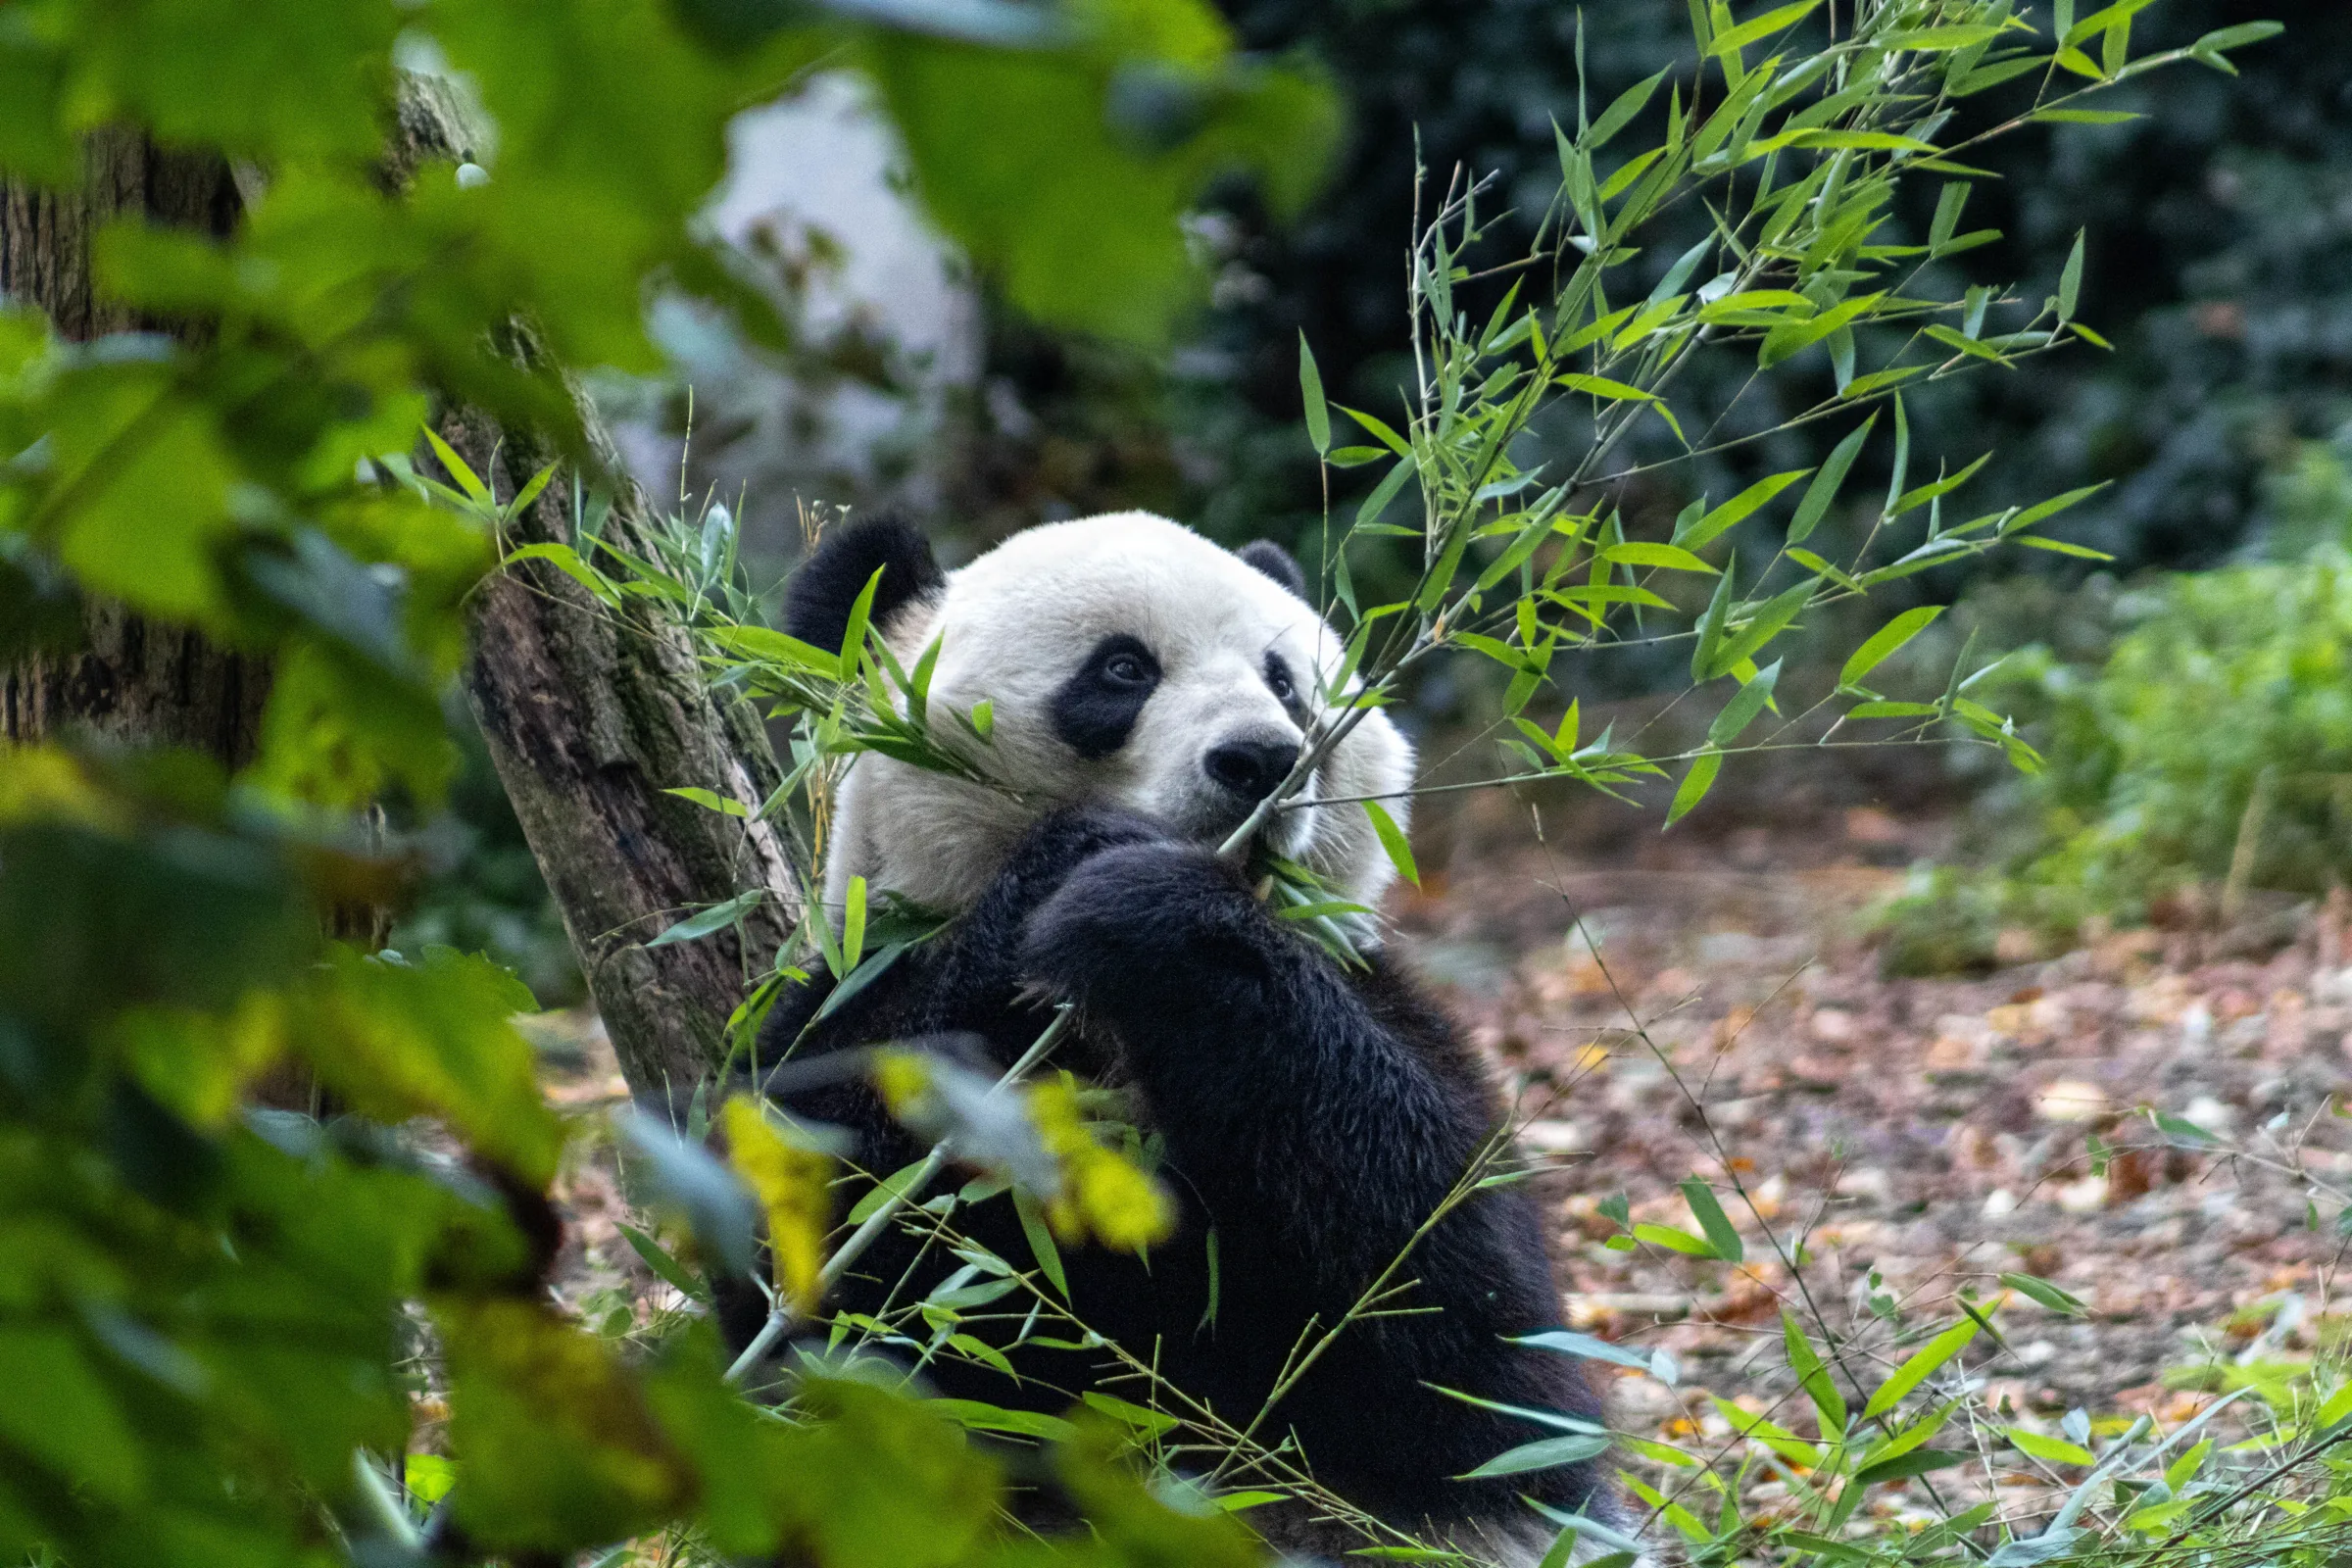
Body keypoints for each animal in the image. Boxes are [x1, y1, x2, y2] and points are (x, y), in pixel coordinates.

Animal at [729, 511, 1622, 1563]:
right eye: (1122, 670)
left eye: (1286, 679)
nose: (1263, 760)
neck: (1108, 1043)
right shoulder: (855, 996)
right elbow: (818, 1282)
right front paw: (1080, 864)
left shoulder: (1388, 1012)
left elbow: (1478, 1351)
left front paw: (1153, 910)